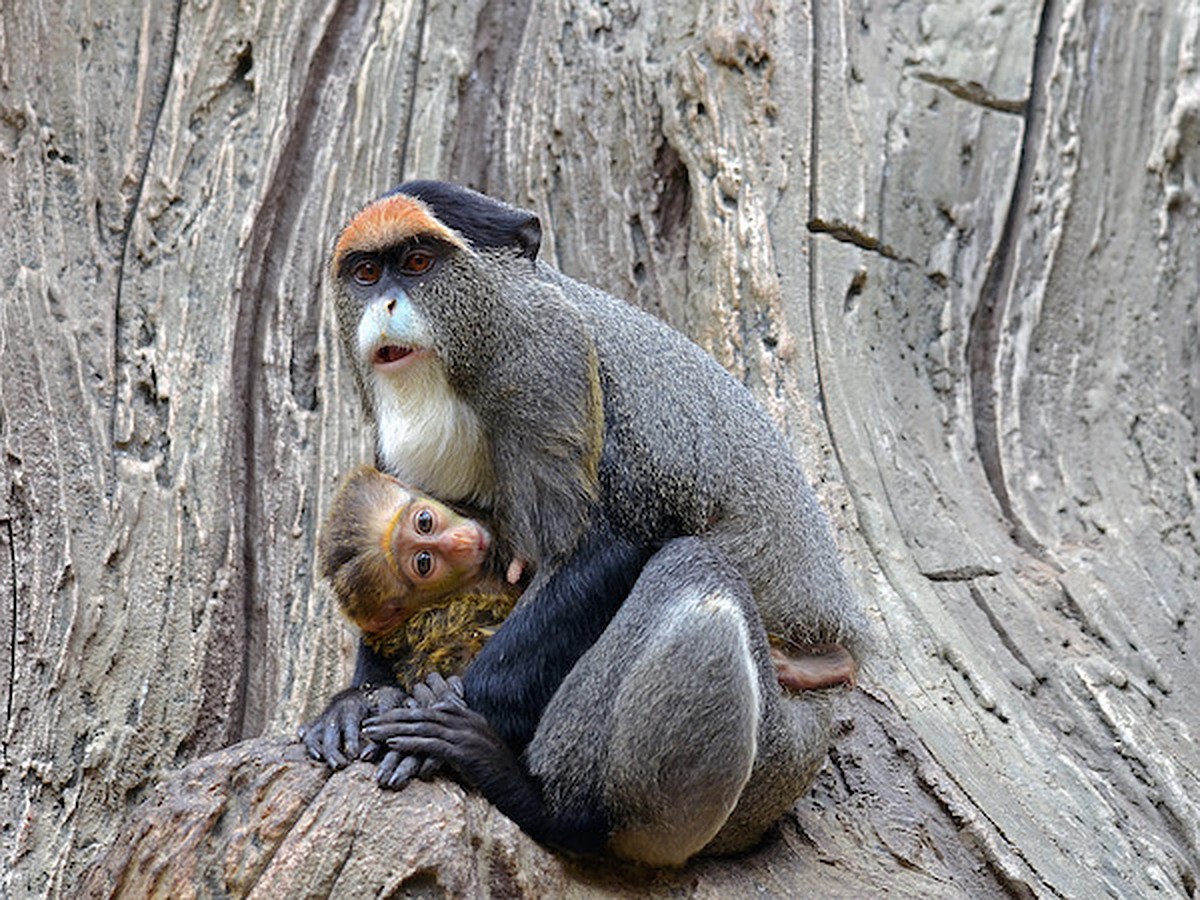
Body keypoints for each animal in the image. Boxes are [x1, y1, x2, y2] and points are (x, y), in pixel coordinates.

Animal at [321, 181, 864, 868]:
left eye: (418, 263)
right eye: (367, 273)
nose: (387, 303)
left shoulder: (550, 366)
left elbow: (606, 546)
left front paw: (443, 719)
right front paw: (356, 702)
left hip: (771, 762)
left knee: (696, 575)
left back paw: (546, 805)